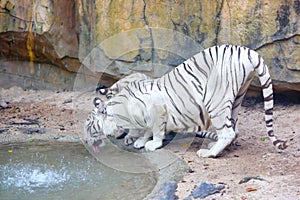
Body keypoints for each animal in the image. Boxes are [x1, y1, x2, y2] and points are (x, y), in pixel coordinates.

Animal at [82, 44, 288, 158]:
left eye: (89, 126)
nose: (84, 140)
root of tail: (246, 51)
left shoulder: (157, 109)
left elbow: (156, 129)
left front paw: (152, 143)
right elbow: (146, 129)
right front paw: (140, 140)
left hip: (215, 100)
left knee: (228, 132)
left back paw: (209, 153)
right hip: (238, 96)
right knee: (233, 129)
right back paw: (216, 147)